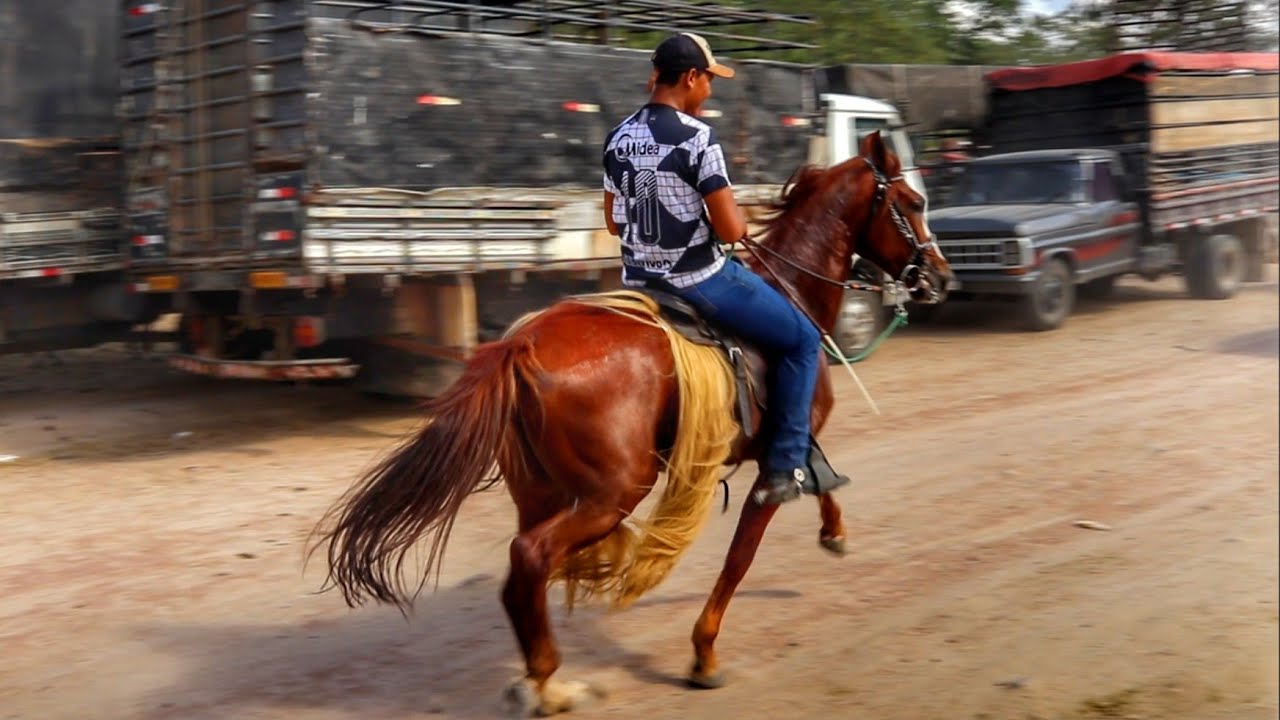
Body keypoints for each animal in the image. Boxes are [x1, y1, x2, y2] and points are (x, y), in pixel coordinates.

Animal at [310, 130, 953, 717]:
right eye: (913, 202)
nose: (941, 276)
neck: (792, 289)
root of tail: (521, 345)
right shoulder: (776, 455)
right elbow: (740, 557)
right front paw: (704, 654)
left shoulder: (785, 443)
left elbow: (817, 478)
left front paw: (834, 529)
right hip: (613, 492)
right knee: (530, 557)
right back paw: (550, 685)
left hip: (539, 490)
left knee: (521, 580)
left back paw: (538, 676)